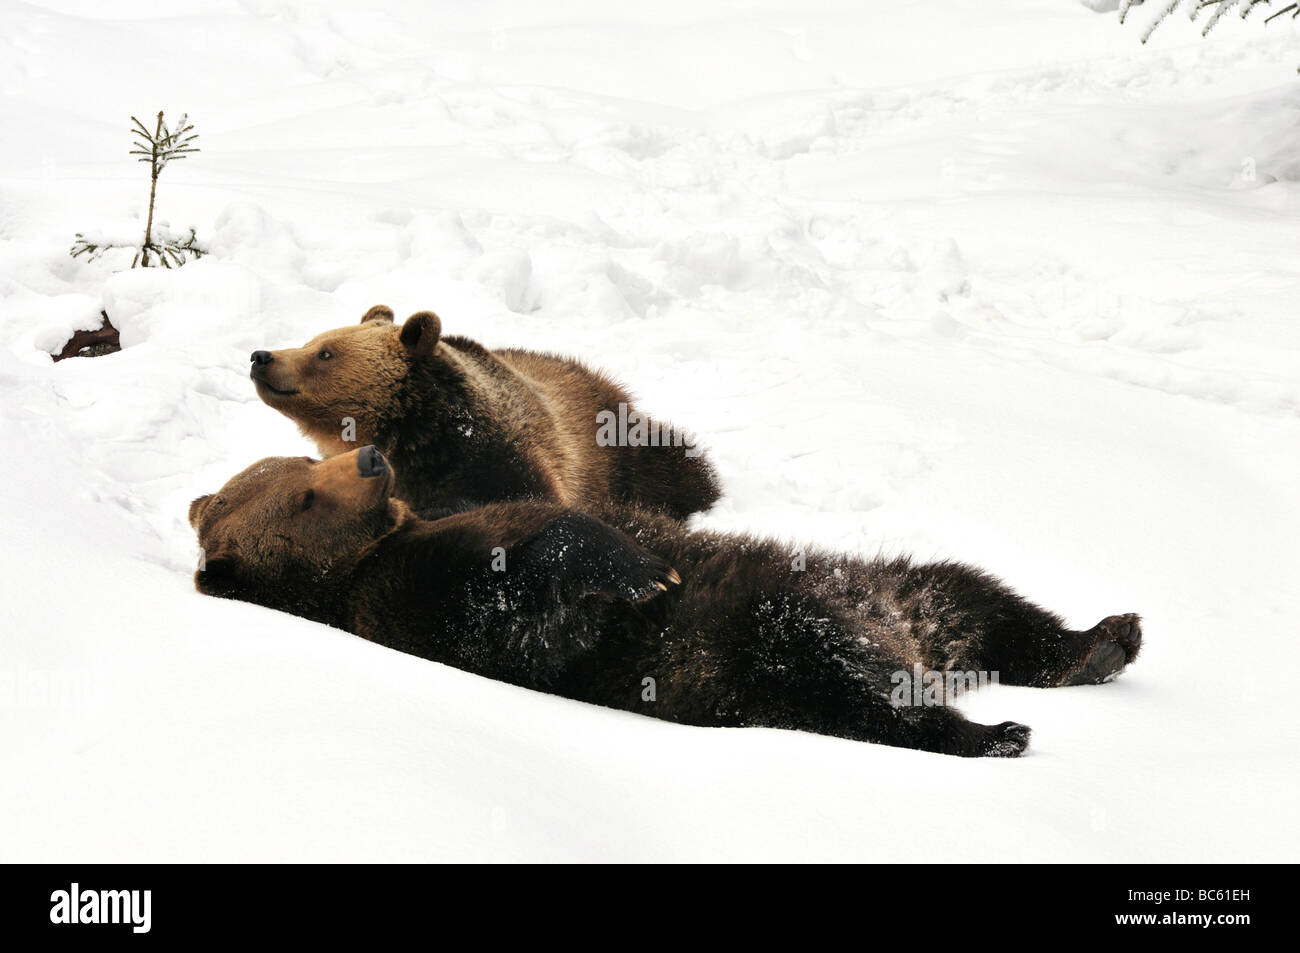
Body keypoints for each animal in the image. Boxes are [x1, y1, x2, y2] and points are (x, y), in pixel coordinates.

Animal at [188, 447, 1144, 759]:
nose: (372, 459)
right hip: (768, 638)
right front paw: (643, 570)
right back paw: (991, 729)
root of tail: (903, 635)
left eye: (302, 466)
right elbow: (530, 598)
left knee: (984, 597)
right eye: (304, 494)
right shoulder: (423, 597)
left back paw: (1101, 639)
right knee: (846, 683)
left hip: (902, 587)